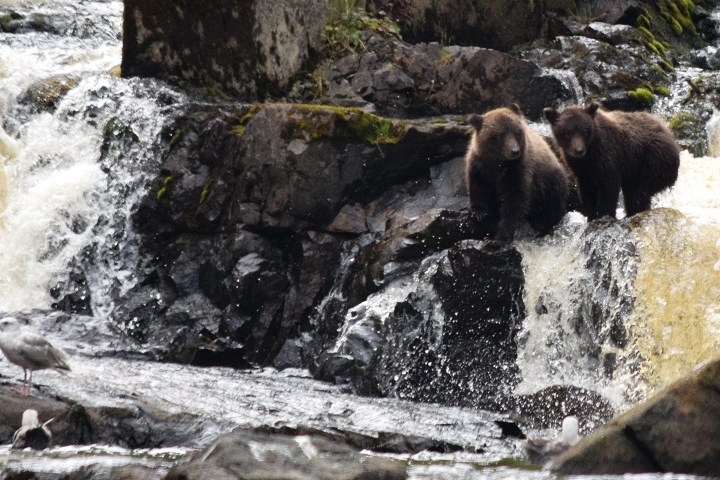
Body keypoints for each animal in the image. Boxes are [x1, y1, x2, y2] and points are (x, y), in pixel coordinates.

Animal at [465, 104, 569, 245]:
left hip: (550, 186)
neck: (497, 163)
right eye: (499, 135)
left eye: (516, 132)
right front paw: (479, 212)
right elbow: (477, 185)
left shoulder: (518, 171)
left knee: (550, 209)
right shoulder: (479, 165)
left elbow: (514, 202)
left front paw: (497, 238)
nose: (514, 151)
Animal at [543, 102, 680, 220]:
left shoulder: (607, 154)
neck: (589, 155)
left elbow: (609, 185)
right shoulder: (580, 169)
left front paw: (604, 214)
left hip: (651, 160)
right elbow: (587, 191)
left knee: (638, 190)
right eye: (567, 133)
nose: (579, 150)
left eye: (584, 131)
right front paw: (592, 215)